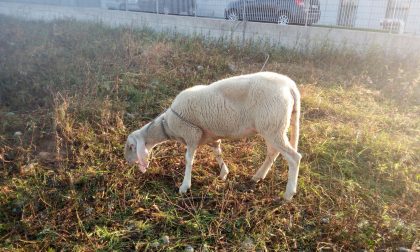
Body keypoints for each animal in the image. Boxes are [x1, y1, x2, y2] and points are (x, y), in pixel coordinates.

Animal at [124, 71, 302, 201]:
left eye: (131, 147)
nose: (127, 162)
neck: (167, 125)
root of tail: (290, 86)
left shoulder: (192, 134)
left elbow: (188, 160)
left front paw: (184, 186)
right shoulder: (212, 137)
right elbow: (218, 153)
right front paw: (224, 173)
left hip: (272, 125)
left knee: (294, 158)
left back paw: (288, 194)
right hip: (273, 126)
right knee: (273, 152)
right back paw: (258, 176)